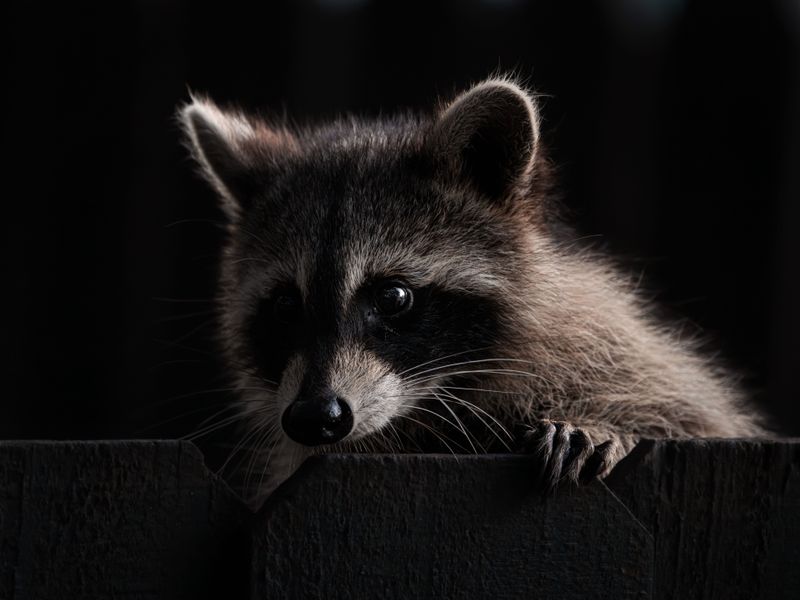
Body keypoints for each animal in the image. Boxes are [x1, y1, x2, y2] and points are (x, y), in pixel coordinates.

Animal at [179, 77, 767, 504]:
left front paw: (605, 428)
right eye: (285, 304)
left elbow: (686, 415)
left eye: (393, 297)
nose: (315, 417)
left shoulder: (624, 359)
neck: (429, 407)